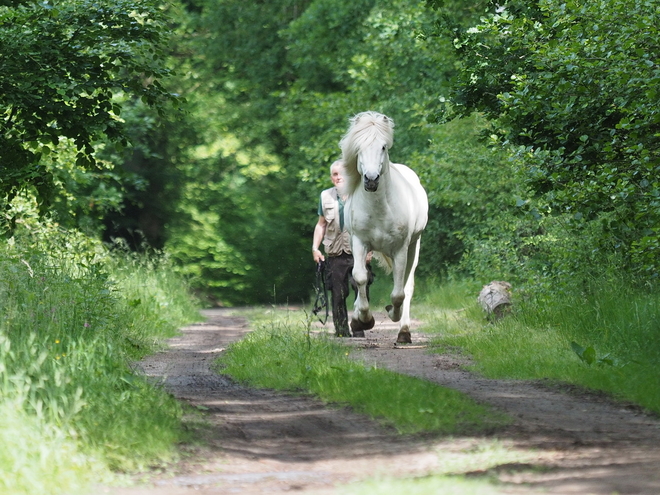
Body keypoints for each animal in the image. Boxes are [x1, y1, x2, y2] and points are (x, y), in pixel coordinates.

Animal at [338, 112, 430, 344]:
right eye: (359, 148)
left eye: (383, 147)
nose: (371, 180)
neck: (379, 207)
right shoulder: (360, 243)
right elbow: (360, 277)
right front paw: (363, 320)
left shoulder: (400, 249)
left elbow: (399, 293)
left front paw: (392, 314)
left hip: (414, 247)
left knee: (407, 286)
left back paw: (404, 332)